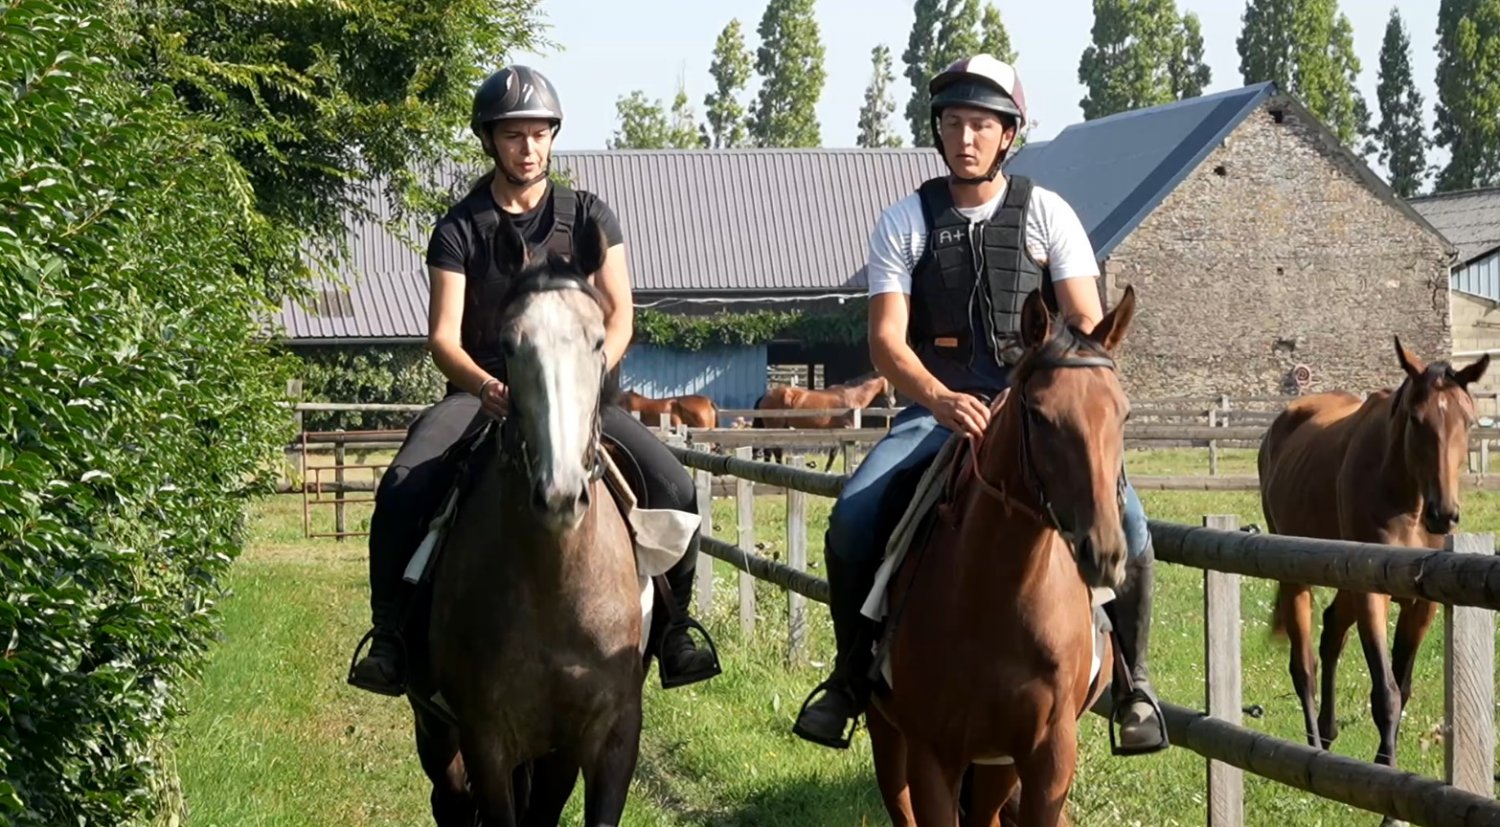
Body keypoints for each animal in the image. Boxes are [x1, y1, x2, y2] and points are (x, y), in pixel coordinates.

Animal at [406, 223, 647, 826]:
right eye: (511, 345)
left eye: (597, 341)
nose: (560, 494)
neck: (553, 583)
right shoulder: (486, 740)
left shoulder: (611, 738)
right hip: (436, 732)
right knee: (449, 800)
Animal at [752, 372, 896, 469]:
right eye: (891, 384)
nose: (893, 402)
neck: (851, 396)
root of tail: (765, 395)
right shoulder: (847, 430)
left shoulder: (838, 432)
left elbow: (833, 453)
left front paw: (827, 470)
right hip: (775, 427)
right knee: (773, 450)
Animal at [866, 286, 1138, 827]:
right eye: (1039, 414)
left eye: (1122, 414)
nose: (1104, 553)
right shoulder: (932, 755)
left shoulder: (1047, 757)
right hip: (891, 741)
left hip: (998, 765)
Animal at [1258, 338, 1488, 776]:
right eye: (1417, 419)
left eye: (1467, 421)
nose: (1444, 514)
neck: (1408, 499)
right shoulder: (1371, 594)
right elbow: (1386, 692)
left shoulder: (1422, 604)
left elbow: (1404, 685)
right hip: (1295, 577)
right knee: (1305, 666)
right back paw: (1314, 745)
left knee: (1332, 632)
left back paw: (1328, 733)